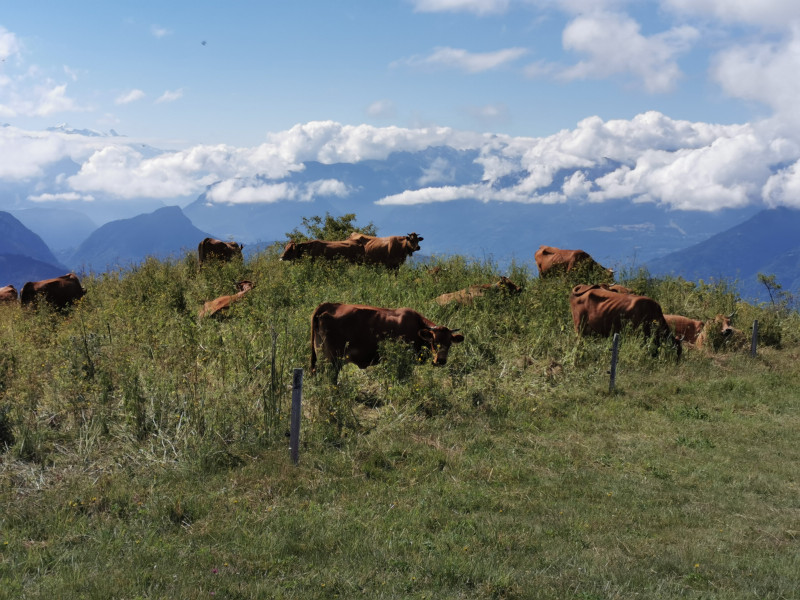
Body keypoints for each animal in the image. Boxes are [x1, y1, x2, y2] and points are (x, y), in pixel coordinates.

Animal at [310, 302, 464, 380]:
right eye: (434, 342)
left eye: (449, 343)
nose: (441, 361)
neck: (417, 325)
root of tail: (327, 305)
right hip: (333, 358)